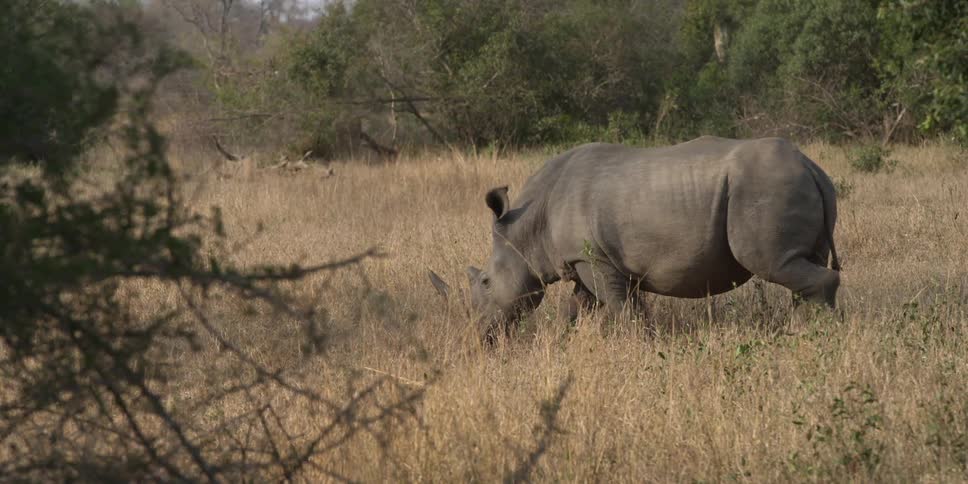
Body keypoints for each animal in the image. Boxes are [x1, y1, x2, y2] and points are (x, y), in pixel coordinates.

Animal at [430, 136, 841, 331]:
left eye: (485, 282)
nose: (481, 335)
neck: (527, 229)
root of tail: (811, 166)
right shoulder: (585, 259)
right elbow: (575, 309)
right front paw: (565, 343)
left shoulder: (595, 259)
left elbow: (622, 308)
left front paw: (643, 343)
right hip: (788, 185)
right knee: (800, 263)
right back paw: (804, 324)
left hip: (764, 187)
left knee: (773, 262)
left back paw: (815, 331)